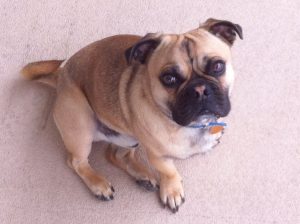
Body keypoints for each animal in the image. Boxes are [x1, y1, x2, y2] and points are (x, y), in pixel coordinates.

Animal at [21, 18, 241, 213]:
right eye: (169, 78)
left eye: (217, 66)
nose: (200, 89)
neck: (191, 126)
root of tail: (59, 76)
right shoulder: (158, 156)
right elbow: (169, 171)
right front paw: (172, 190)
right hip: (81, 125)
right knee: (76, 162)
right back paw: (99, 184)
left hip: (128, 137)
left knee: (115, 155)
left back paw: (142, 176)